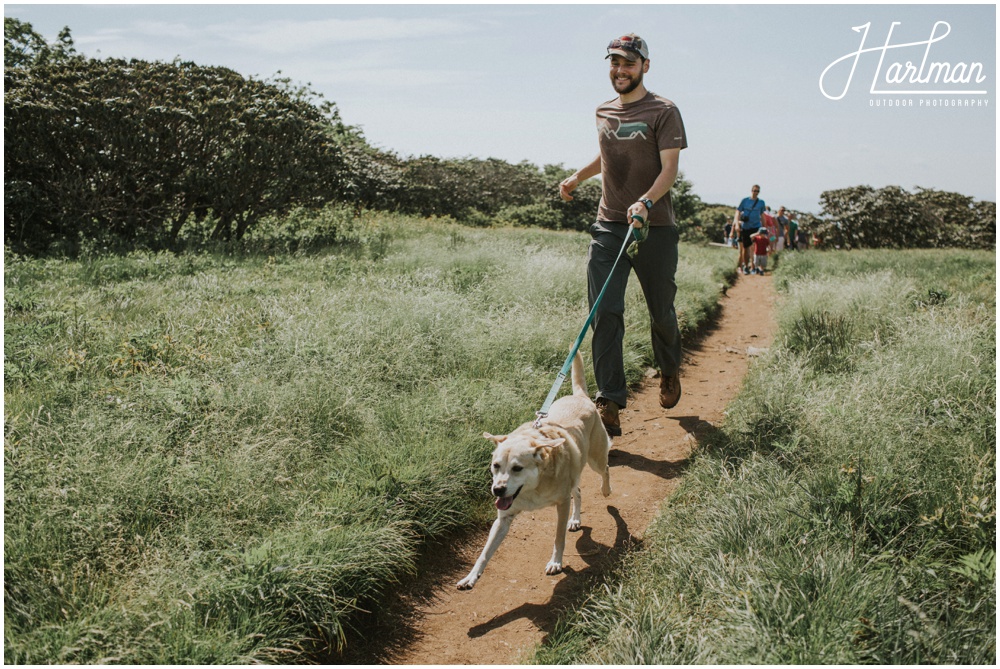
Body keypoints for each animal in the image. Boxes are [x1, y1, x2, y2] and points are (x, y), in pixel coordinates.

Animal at [458, 352, 612, 588]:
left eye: (517, 468)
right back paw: (576, 520)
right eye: (495, 465)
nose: (497, 490)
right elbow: (485, 553)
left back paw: (605, 490)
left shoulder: (561, 503)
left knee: (605, 469)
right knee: (577, 491)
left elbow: (558, 538)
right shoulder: (503, 518)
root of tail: (580, 396)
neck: (533, 488)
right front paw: (471, 576)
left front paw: (556, 562)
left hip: (595, 458)